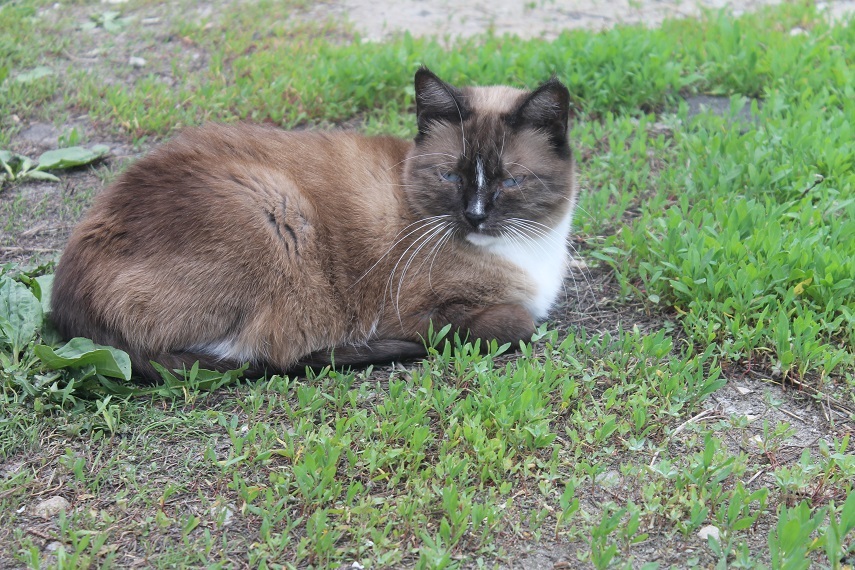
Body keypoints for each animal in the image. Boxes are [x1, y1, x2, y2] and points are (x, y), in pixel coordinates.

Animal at [50, 69, 580, 384]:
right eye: (451, 176)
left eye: (510, 181)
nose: (475, 215)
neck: (528, 251)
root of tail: (66, 302)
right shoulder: (419, 313)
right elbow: (518, 322)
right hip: (276, 206)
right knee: (269, 354)